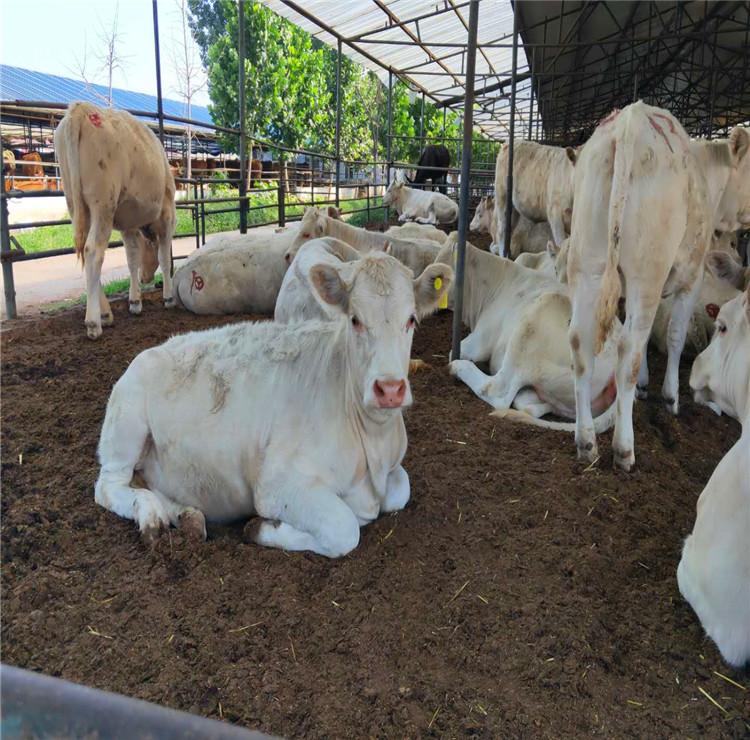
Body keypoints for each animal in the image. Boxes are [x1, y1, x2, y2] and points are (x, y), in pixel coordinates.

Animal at [55, 100, 176, 338]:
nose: (146, 278)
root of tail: (80, 109)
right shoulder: (167, 214)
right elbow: (165, 257)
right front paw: (168, 297)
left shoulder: (128, 226)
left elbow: (132, 259)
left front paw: (135, 302)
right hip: (103, 203)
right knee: (93, 251)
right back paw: (94, 322)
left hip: (75, 204)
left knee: (85, 251)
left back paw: (105, 313)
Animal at [97, 253, 456, 556]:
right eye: (355, 319)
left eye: (411, 319)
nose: (389, 389)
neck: (374, 445)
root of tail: (153, 349)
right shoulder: (276, 484)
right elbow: (343, 528)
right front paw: (261, 529)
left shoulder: (393, 470)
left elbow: (401, 489)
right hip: (125, 424)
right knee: (109, 486)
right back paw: (150, 516)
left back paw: (187, 517)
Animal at [444, 237, 620, 422]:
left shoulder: (480, 339)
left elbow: (456, 351)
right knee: (530, 404)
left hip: (535, 323)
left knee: (498, 391)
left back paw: (458, 367)